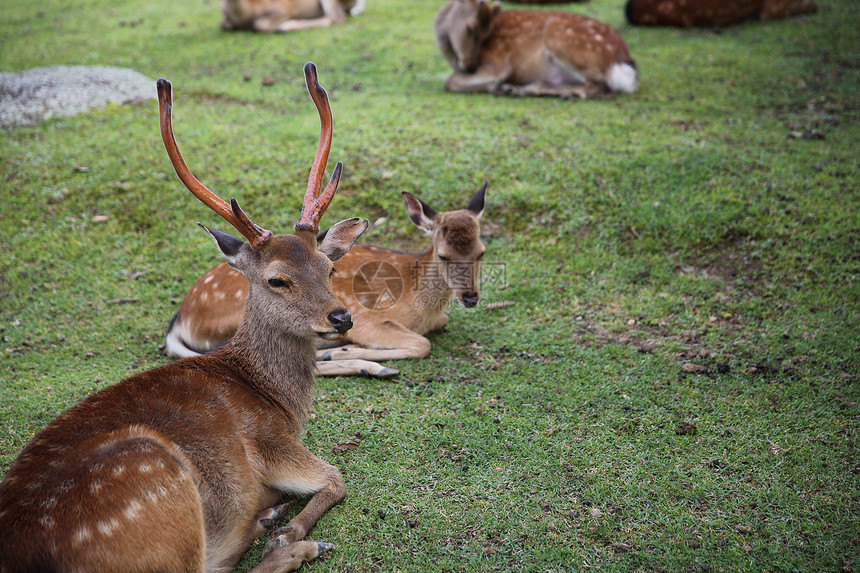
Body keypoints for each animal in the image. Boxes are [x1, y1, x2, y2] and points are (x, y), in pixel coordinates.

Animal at [0, 62, 366, 572]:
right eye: (277, 279)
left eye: (329, 267)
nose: (341, 318)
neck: (278, 401)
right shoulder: (272, 440)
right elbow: (336, 477)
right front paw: (290, 526)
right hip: (159, 488)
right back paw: (287, 538)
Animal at [167, 183, 488, 378]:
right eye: (444, 255)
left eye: (481, 252)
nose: (471, 297)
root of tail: (181, 319)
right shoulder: (368, 317)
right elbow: (422, 344)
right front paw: (351, 350)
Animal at [436, 0, 640, 99]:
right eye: (470, 28)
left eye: (485, 32)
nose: (470, 66)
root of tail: (624, 61)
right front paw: (503, 88)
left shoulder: (497, 60)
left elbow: (450, 82)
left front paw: (501, 87)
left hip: (562, 39)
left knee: (603, 88)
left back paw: (537, 90)